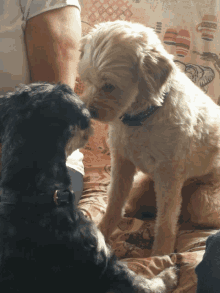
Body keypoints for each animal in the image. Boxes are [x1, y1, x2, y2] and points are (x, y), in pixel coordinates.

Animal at [78, 19, 220, 254]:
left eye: (109, 86)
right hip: (140, 186)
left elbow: (166, 221)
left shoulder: (168, 178)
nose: (87, 113)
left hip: (203, 200)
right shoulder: (122, 164)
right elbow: (114, 203)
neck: (141, 117)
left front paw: (160, 254)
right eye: (86, 80)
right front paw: (103, 232)